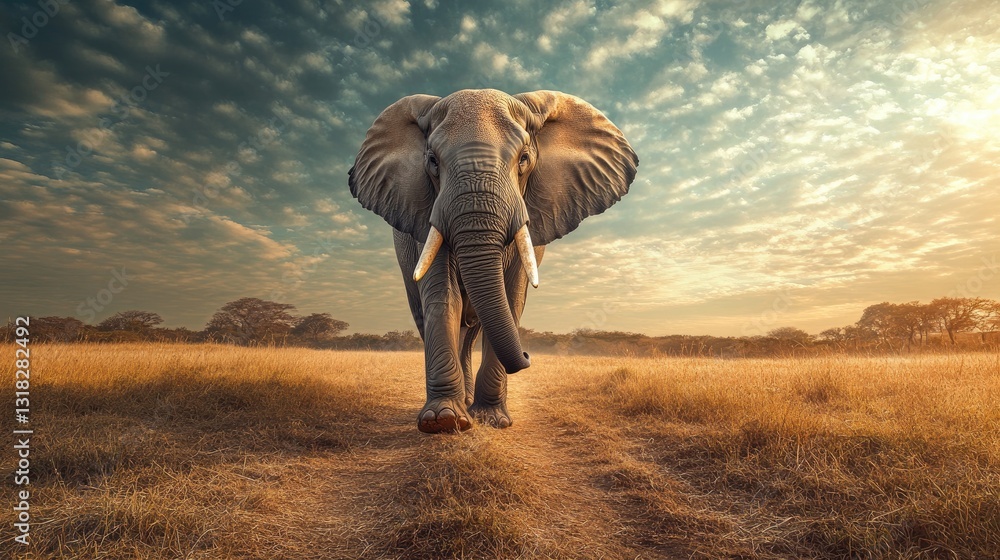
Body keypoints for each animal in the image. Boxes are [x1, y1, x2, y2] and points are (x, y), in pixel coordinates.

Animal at [349, 89, 638, 433]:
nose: (527, 353)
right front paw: (442, 420)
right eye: (432, 161)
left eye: (524, 159)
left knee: (473, 330)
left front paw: (491, 419)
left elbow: (512, 297)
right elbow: (443, 295)